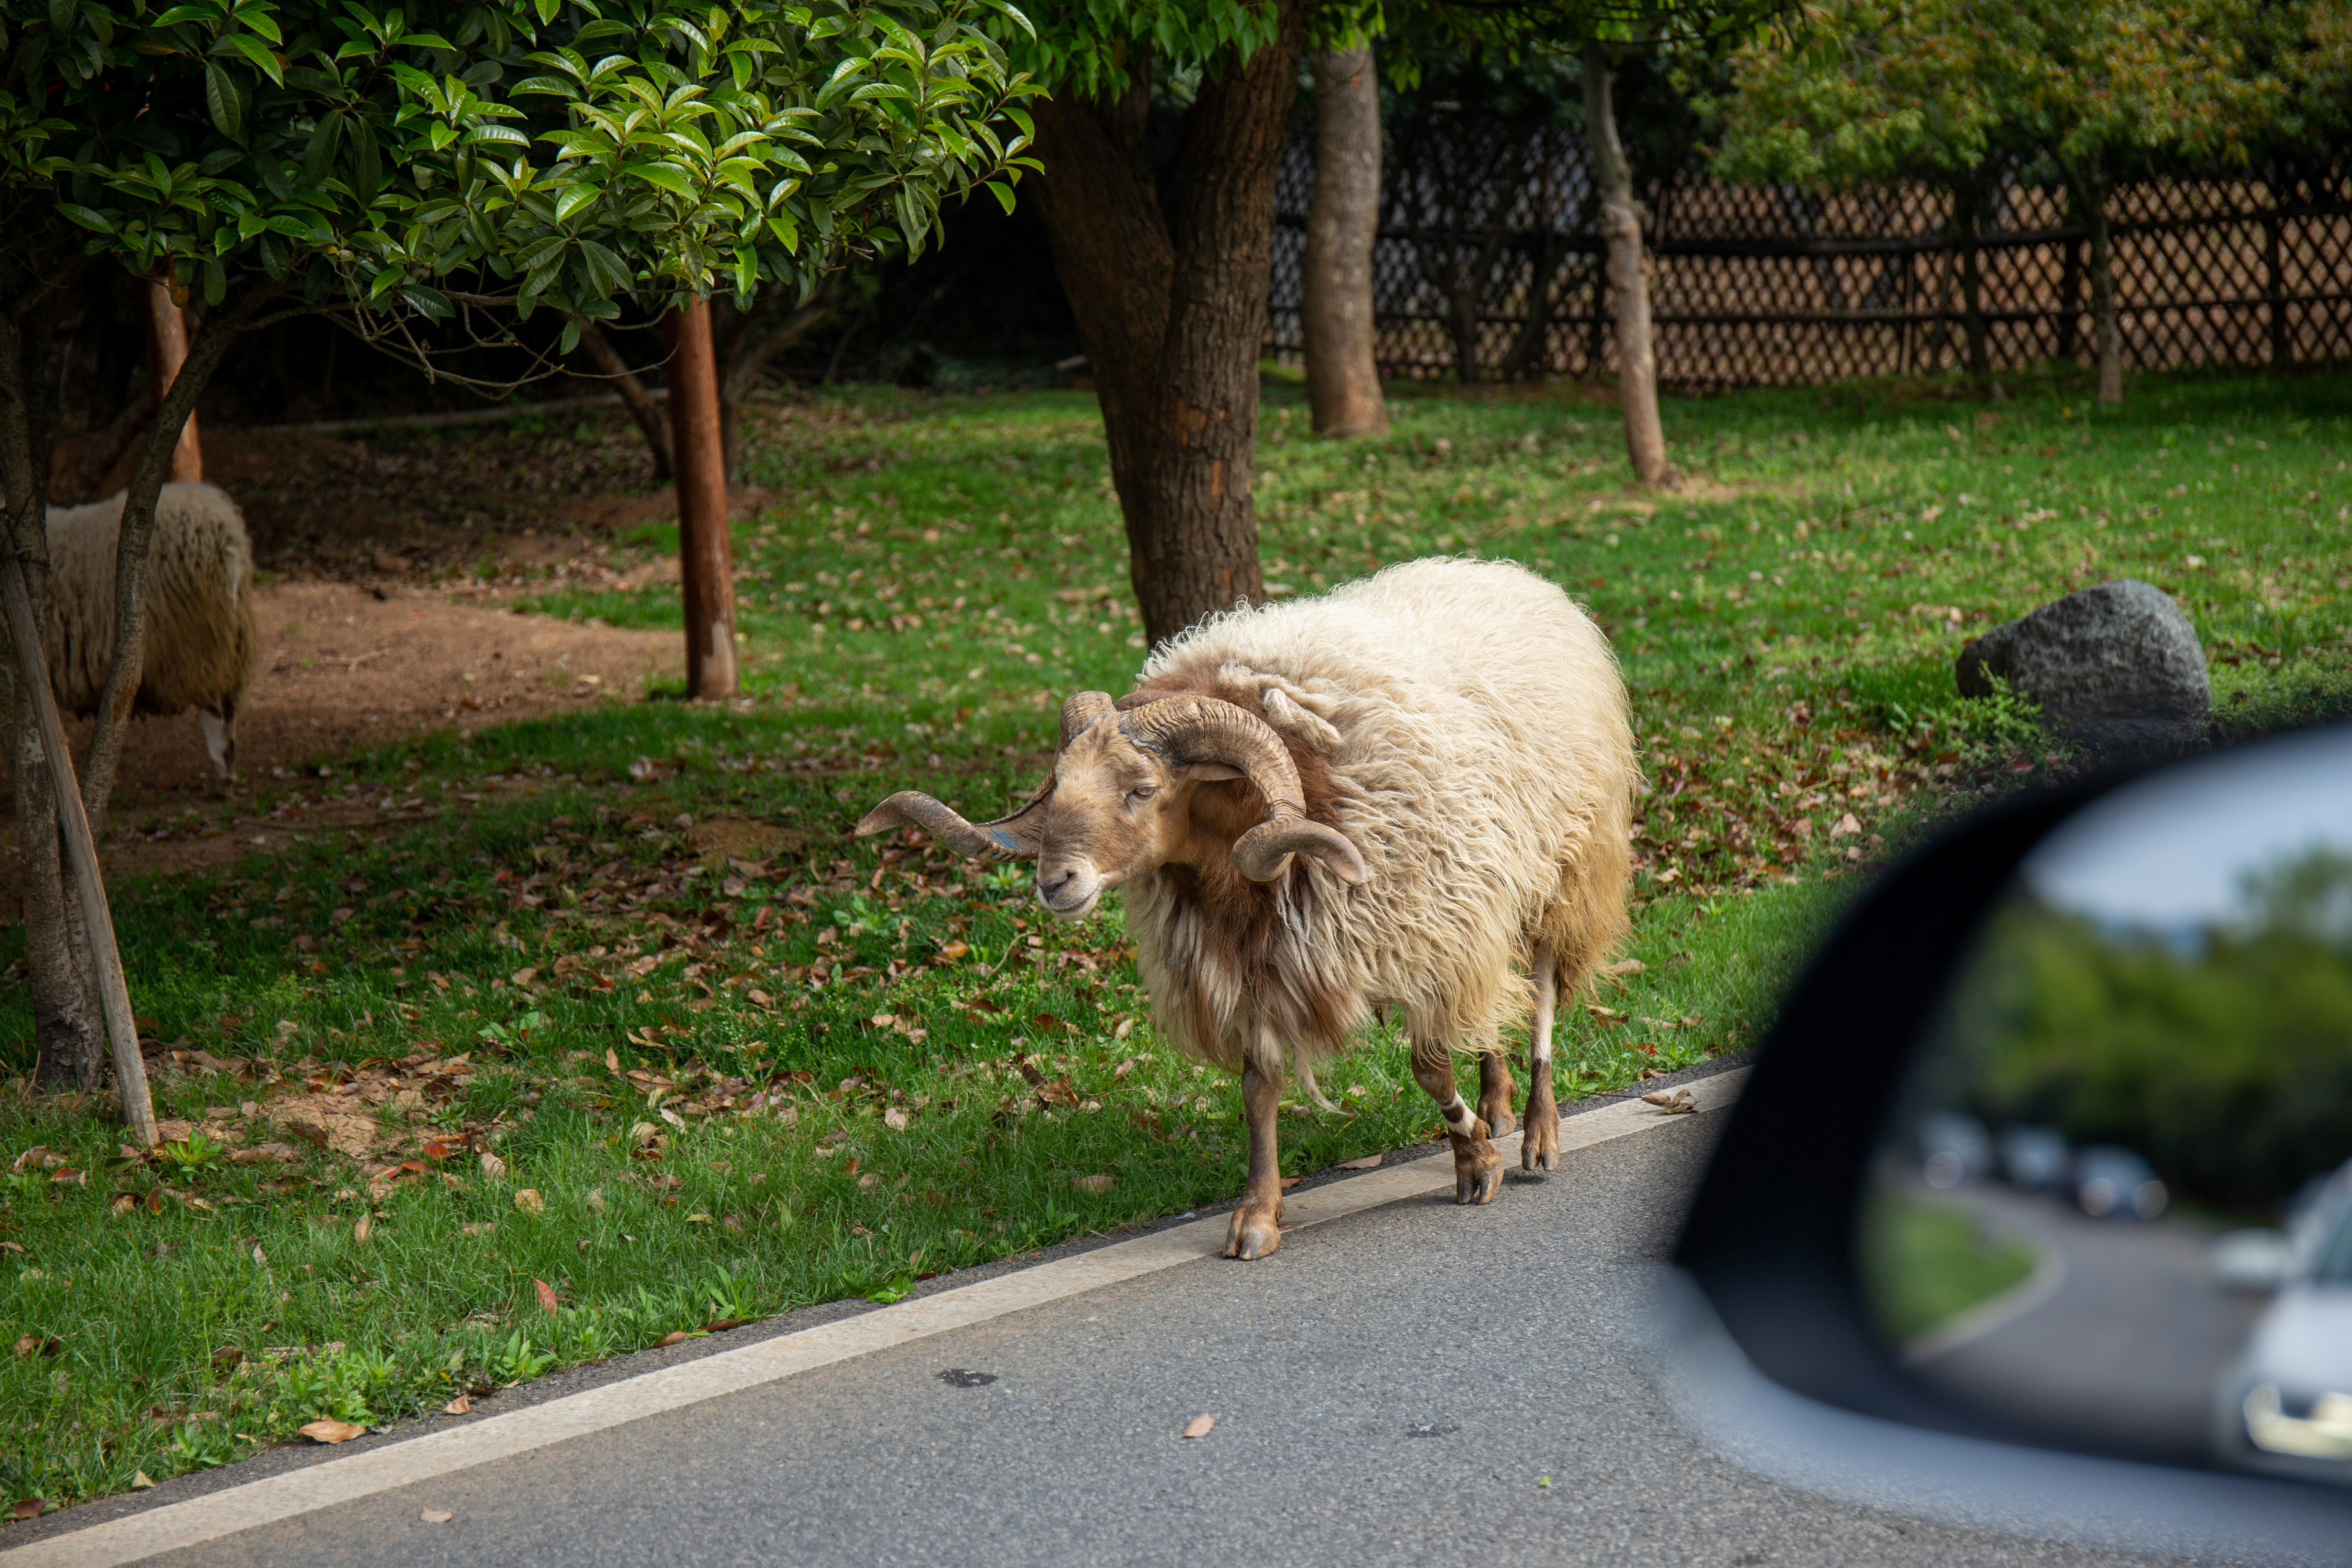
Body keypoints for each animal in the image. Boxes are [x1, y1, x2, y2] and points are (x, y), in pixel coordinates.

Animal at [860, 558, 1637, 1261]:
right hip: (1491, 895)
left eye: (1142, 789)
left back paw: (1538, 1132)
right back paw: (1500, 1104)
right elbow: (1258, 1091)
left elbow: (1429, 1070)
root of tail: (1511, 574)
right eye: (1059, 786)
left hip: (1567, 866)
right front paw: (1257, 1216)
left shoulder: (1421, 933)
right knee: (1495, 1005)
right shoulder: (1261, 965)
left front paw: (1475, 1161)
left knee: (1540, 990)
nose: (1056, 882)